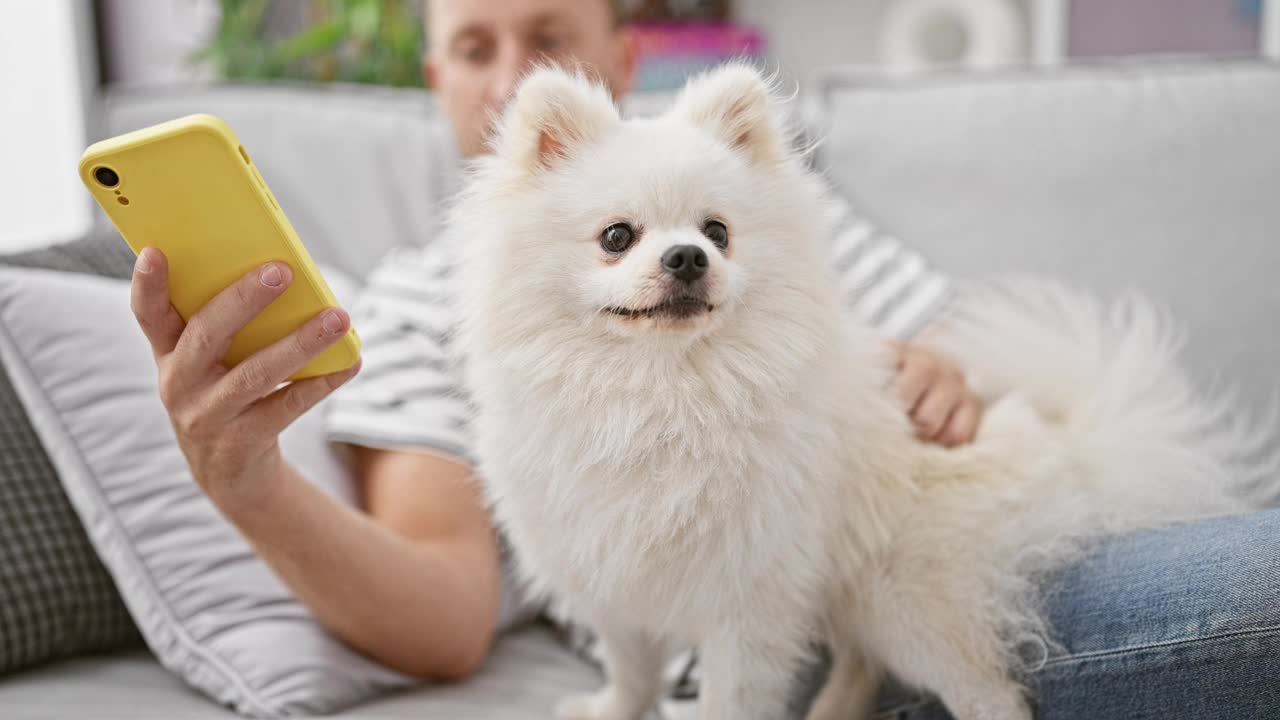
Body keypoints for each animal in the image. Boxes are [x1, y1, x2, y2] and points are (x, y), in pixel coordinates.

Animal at [445, 63, 1274, 717]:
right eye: (617, 237)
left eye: (717, 232)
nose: (686, 257)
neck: (661, 391)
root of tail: (1058, 443)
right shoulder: (611, 578)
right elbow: (633, 673)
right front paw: (607, 708)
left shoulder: (747, 604)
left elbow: (727, 699)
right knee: (860, 661)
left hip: (904, 601)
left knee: (990, 697)